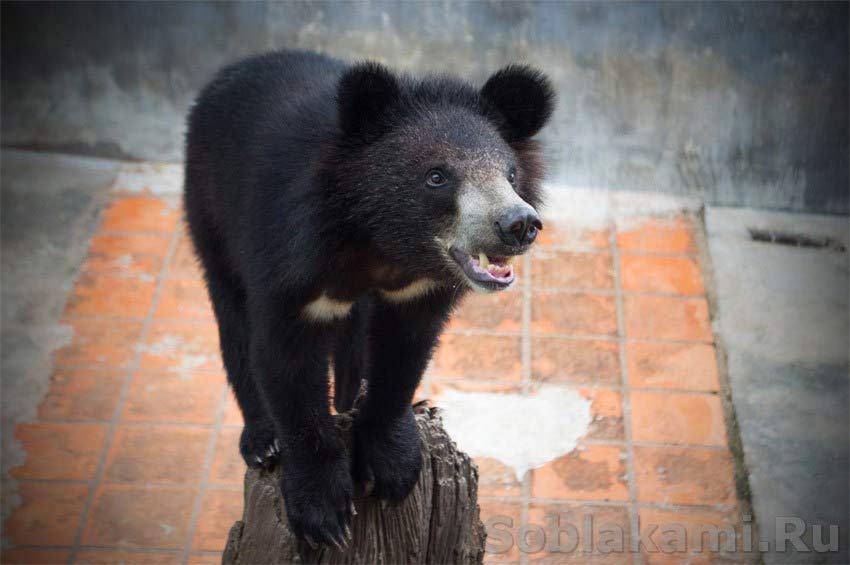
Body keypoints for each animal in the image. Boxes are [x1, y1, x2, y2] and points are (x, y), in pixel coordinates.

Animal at [184, 49, 556, 548]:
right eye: (436, 176)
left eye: (511, 174)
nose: (518, 224)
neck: (381, 243)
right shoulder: (288, 254)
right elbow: (286, 364)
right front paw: (323, 513)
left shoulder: (418, 290)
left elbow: (403, 355)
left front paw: (392, 465)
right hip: (209, 208)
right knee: (233, 316)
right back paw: (262, 441)